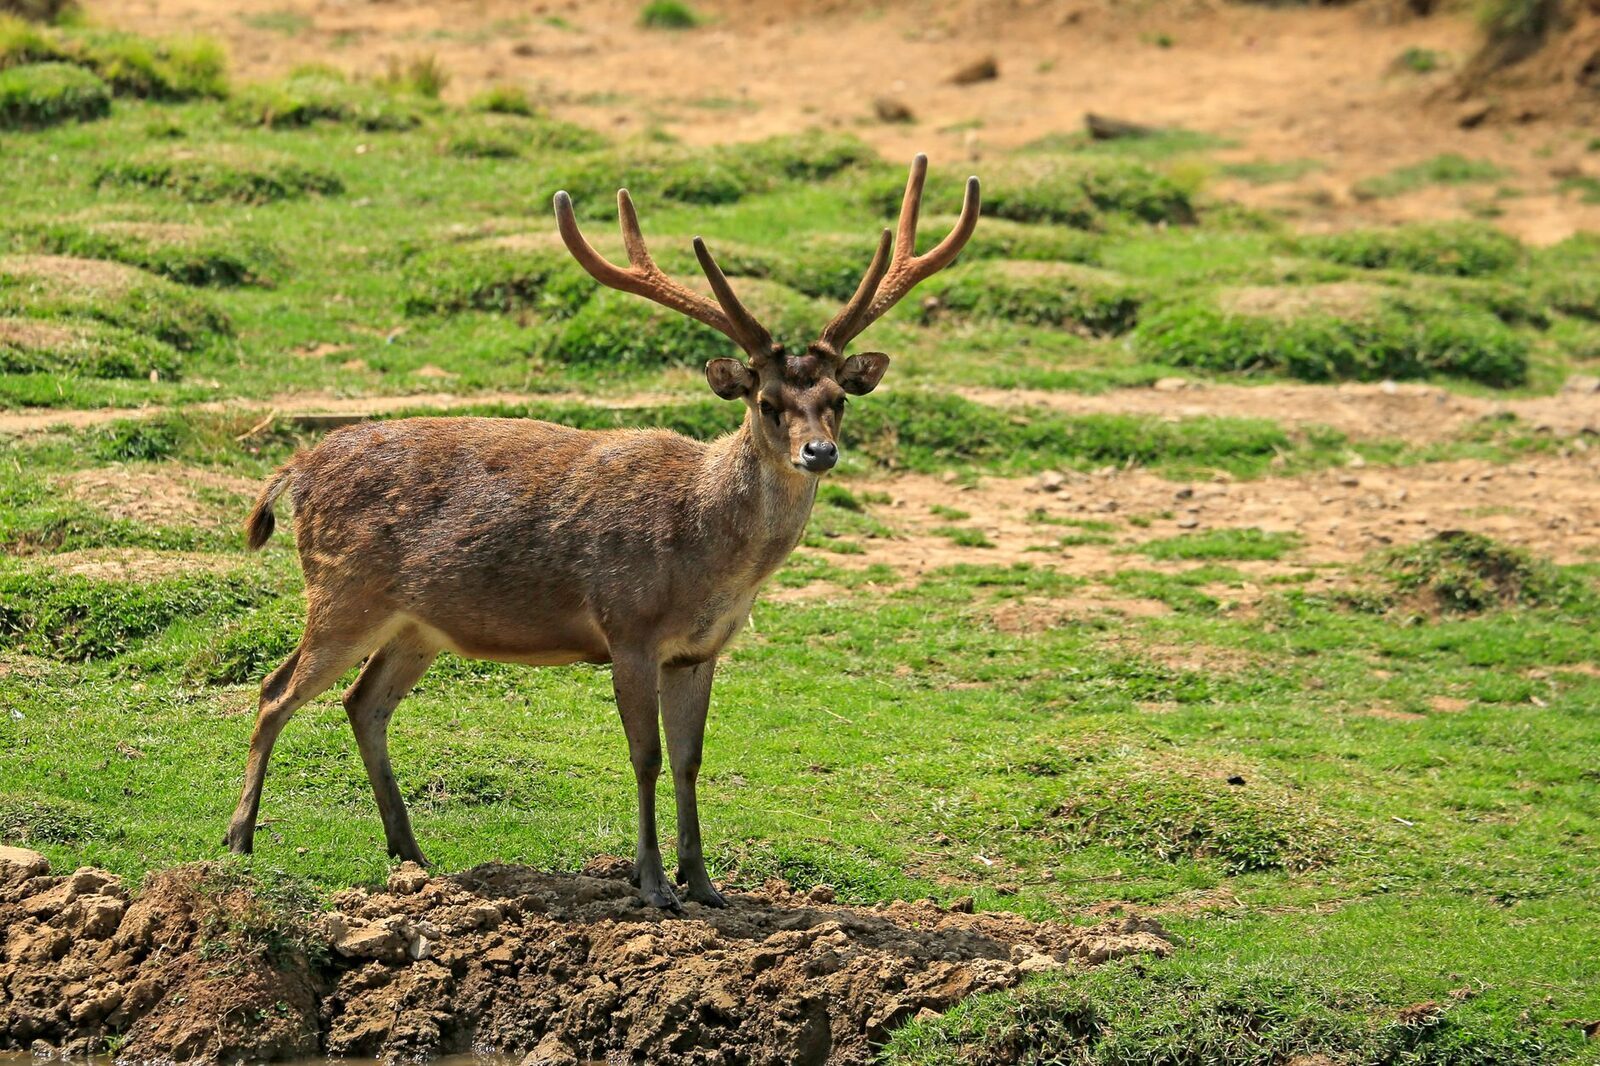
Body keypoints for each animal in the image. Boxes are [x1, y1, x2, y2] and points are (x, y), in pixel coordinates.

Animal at [223, 155, 980, 909]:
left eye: (838, 399)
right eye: (767, 403)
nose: (819, 452)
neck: (710, 563)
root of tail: (296, 469)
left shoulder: (699, 651)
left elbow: (691, 759)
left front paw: (704, 883)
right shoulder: (628, 628)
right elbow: (646, 757)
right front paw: (651, 883)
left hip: (417, 627)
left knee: (363, 703)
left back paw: (410, 853)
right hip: (343, 591)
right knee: (275, 690)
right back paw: (240, 839)